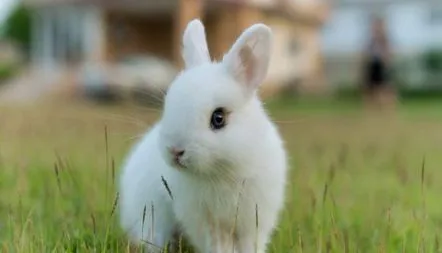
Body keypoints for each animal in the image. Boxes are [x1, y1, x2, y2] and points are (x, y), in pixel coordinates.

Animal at [119, 18, 288, 253]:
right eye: (168, 105)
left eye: (218, 118)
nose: (175, 151)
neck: (223, 172)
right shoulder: (204, 222)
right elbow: (217, 245)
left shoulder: (254, 220)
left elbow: (249, 244)